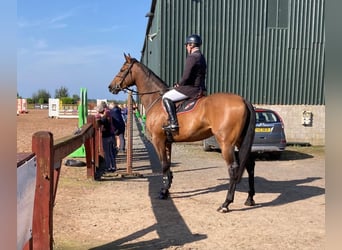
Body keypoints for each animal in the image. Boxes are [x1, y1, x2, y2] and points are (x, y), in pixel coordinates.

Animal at [108, 53, 255, 212]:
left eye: (123, 69)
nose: (110, 87)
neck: (157, 100)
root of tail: (243, 100)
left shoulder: (158, 140)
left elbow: (164, 164)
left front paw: (163, 192)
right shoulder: (167, 142)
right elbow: (168, 164)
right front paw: (167, 188)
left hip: (226, 143)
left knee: (233, 168)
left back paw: (225, 204)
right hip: (240, 141)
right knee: (250, 165)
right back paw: (250, 199)